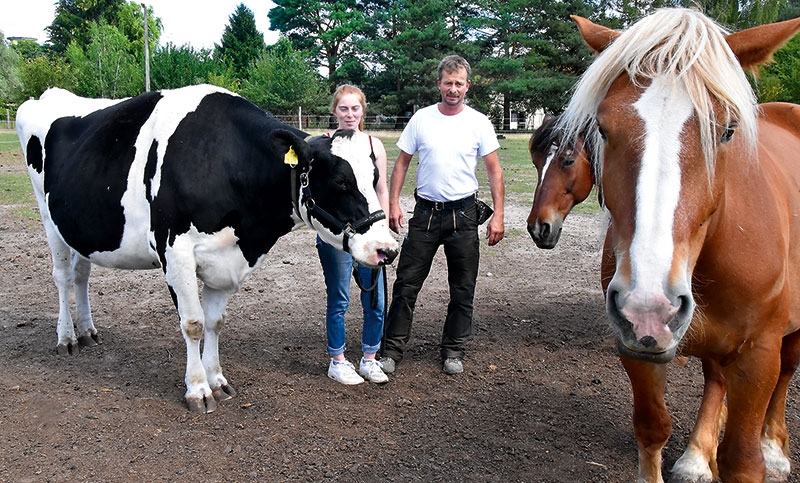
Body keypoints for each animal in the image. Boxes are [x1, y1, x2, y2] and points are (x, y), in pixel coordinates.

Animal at [20, 85, 400, 414]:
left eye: (375, 176)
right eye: (341, 182)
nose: (387, 249)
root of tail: (48, 95)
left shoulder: (228, 257)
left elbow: (215, 322)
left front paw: (217, 379)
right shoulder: (175, 251)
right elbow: (193, 323)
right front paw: (198, 389)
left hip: (80, 229)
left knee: (82, 274)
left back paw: (87, 331)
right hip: (48, 217)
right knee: (62, 277)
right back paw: (67, 337)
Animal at [560, 8, 800, 483]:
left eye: (728, 130)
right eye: (603, 128)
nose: (650, 306)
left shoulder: (759, 352)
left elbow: (743, 459)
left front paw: (756, 453)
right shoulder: (638, 346)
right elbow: (653, 428)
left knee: (786, 372)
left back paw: (774, 447)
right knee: (715, 380)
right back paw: (696, 456)